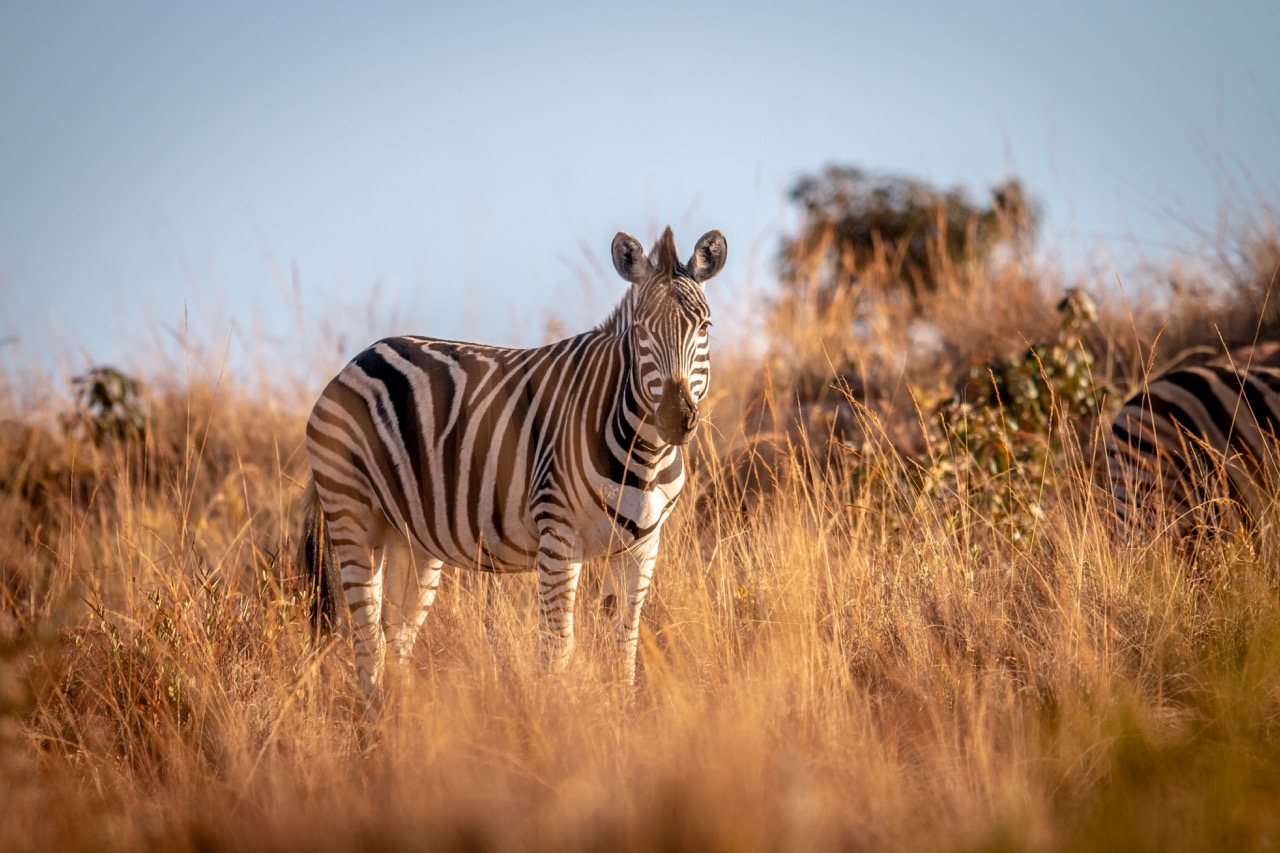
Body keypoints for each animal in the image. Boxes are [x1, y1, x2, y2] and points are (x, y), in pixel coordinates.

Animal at [300, 227, 727, 695]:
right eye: (640, 330)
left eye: (704, 327)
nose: (675, 417)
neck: (645, 452)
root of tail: (357, 359)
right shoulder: (558, 537)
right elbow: (559, 646)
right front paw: (559, 708)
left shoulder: (642, 546)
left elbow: (626, 644)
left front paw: (621, 707)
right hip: (352, 513)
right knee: (366, 638)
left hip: (409, 536)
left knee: (395, 635)